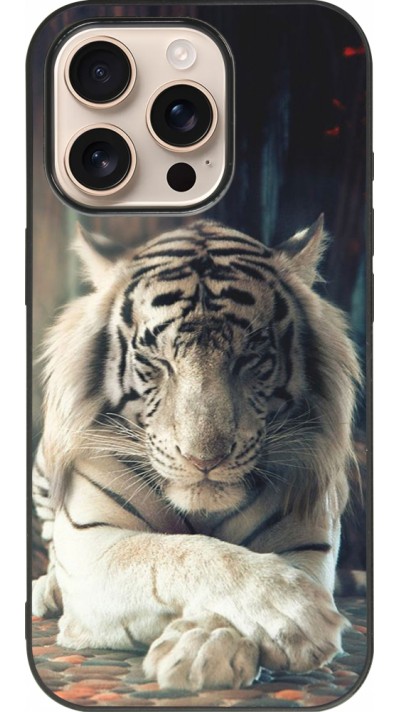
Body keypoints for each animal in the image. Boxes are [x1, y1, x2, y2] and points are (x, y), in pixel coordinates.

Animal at [32, 216, 360, 692]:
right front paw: (292, 612)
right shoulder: (93, 544)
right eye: (156, 360)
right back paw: (46, 590)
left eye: (250, 357)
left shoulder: (307, 543)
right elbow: (179, 552)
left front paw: (206, 646)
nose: (204, 460)